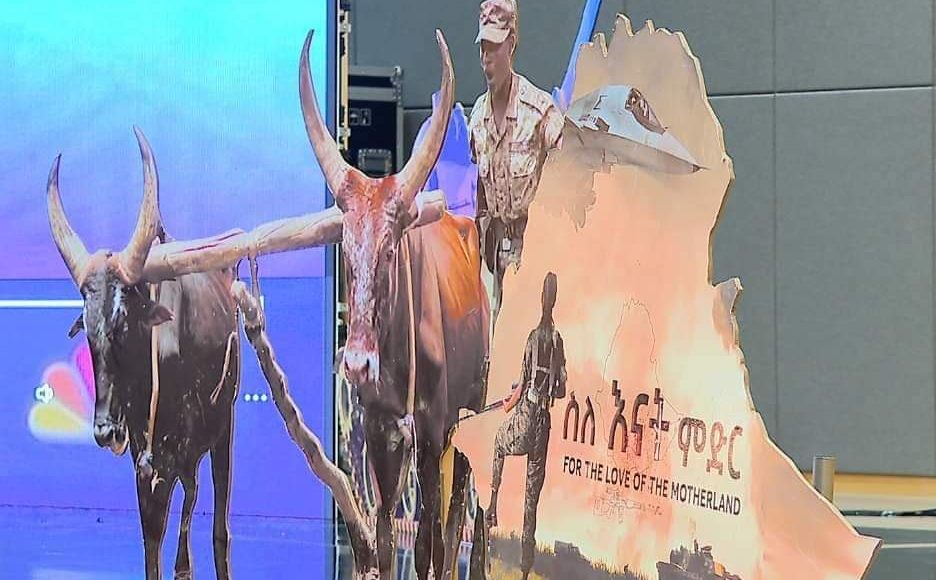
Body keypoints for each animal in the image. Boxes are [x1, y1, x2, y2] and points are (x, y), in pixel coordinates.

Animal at [46, 128, 241, 580]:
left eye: (123, 323)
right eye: (88, 330)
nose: (104, 431)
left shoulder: (170, 457)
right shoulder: (145, 463)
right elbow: (152, 542)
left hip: (225, 424)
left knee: (217, 519)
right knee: (192, 494)